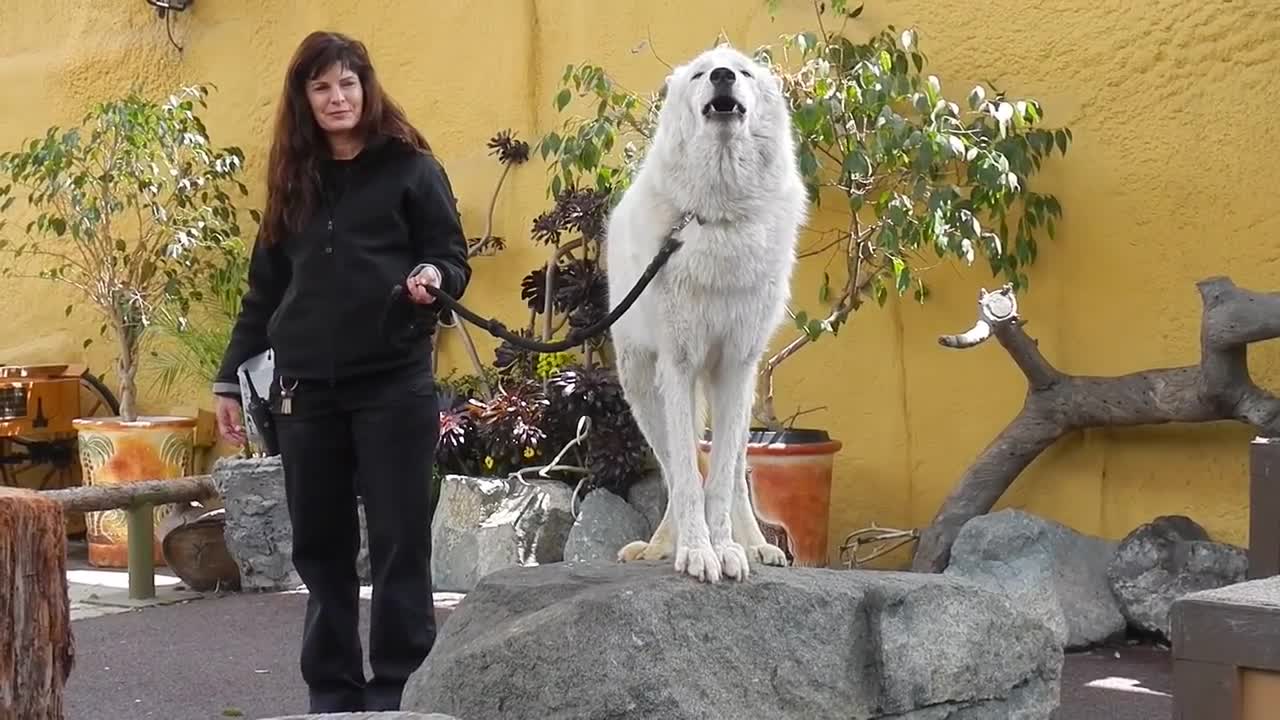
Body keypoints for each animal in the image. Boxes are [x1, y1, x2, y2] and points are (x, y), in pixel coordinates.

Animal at [604, 44, 803, 579]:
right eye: (699, 75)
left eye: (745, 72)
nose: (722, 75)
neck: (719, 217)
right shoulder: (679, 365)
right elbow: (688, 478)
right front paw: (695, 552)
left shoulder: (734, 366)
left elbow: (719, 480)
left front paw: (728, 549)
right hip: (643, 387)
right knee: (676, 470)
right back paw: (661, 546)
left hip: (738, 388)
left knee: (731, 472)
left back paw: (756, 546)